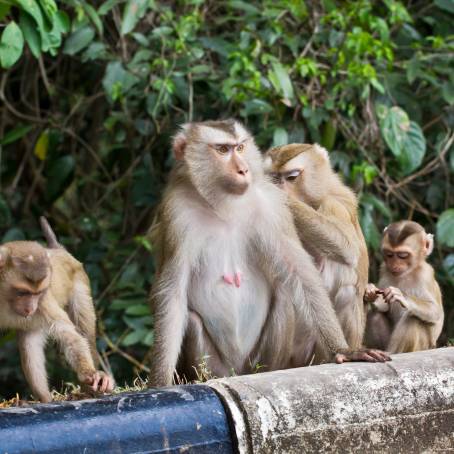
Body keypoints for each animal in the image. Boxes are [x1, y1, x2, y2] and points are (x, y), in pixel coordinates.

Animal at [0, 218, 113, 402]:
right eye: (22, 292)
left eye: (37, 293)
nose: (30, 308)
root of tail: (57, 250)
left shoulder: (44, 301)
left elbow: (70, 336)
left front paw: (92, 374)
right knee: (28, 344)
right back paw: (45, 399)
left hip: (80, 285)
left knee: (84, 333)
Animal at [266, 144, 368, 356]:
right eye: (274, 177)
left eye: (292, 177)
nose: (279, 187)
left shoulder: (335, 204)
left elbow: (346, 248)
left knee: (347, 291)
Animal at [366, 222, 444, 352]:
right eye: (389, 254)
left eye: (403, 255)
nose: (394, 265)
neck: (407, 273)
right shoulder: (384, 269)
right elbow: (384, 307)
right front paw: (371, 293)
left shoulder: (425, 275)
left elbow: (435, 312)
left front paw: (401, 296)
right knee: (375, 316)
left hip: (424, 346)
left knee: (413, 318)